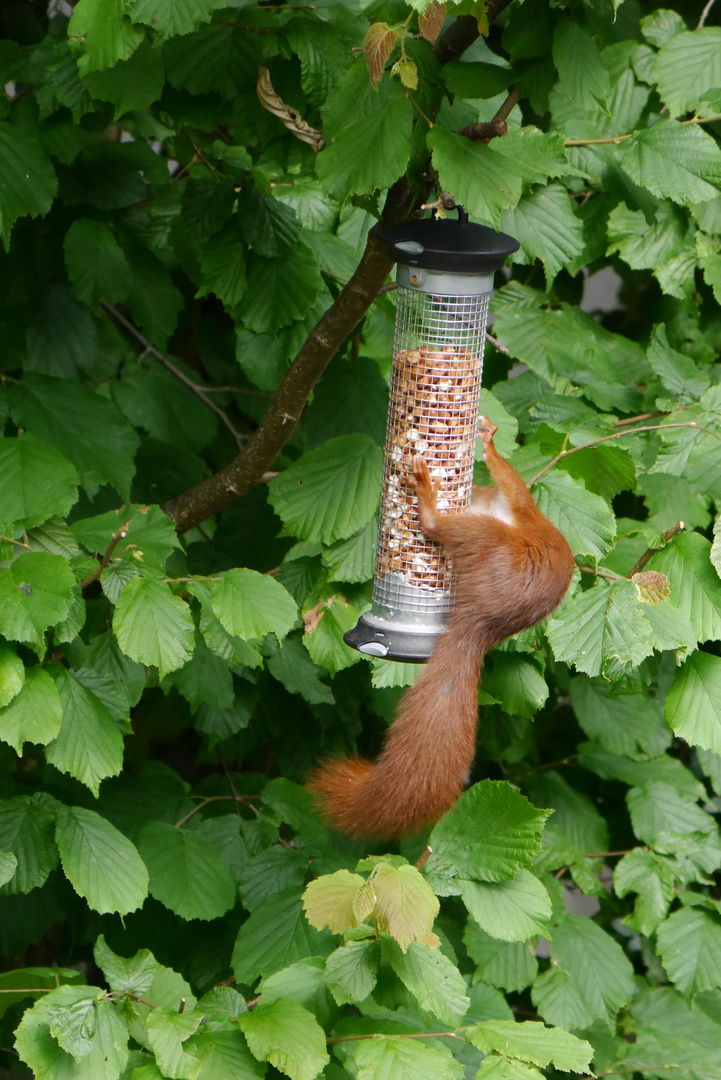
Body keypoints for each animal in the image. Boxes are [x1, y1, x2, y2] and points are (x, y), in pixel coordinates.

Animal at [310, 416, 574, 838]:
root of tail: (482, 622)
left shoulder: (518, 505)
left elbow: (510, 478)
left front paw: (488, 443)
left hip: (489, 541)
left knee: (441, 527)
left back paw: (429, 500)